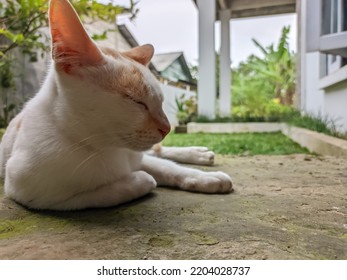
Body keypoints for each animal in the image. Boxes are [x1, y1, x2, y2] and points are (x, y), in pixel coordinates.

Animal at [0, 0, 235, 210]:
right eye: (137, 101)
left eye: (160, 102)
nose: (167, 128)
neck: (104, 147)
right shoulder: (30, 192)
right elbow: (109, 190)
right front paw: (139, 180)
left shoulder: (138, 156)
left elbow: (169, 169)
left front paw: (206, 178)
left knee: (159, 152)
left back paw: (199, 153)